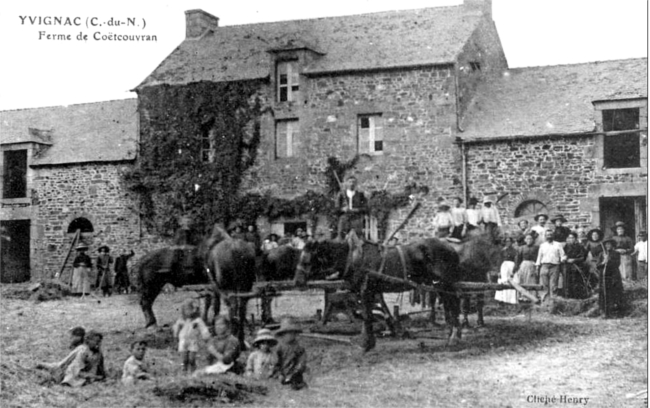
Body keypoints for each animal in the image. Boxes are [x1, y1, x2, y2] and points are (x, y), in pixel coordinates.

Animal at [294, 233, 460, 350]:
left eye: (307, 260)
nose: (297, 282)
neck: (353, 257)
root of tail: (451, 248)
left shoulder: (366, 290)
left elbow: (367, 316)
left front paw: (366, 343)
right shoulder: (369, 292)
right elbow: (368, 314)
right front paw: (367, 340)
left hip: (445, 285)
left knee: (453, 306)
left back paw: (454, 338)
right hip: (439, 286)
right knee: (449, 307)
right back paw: (452, 336)